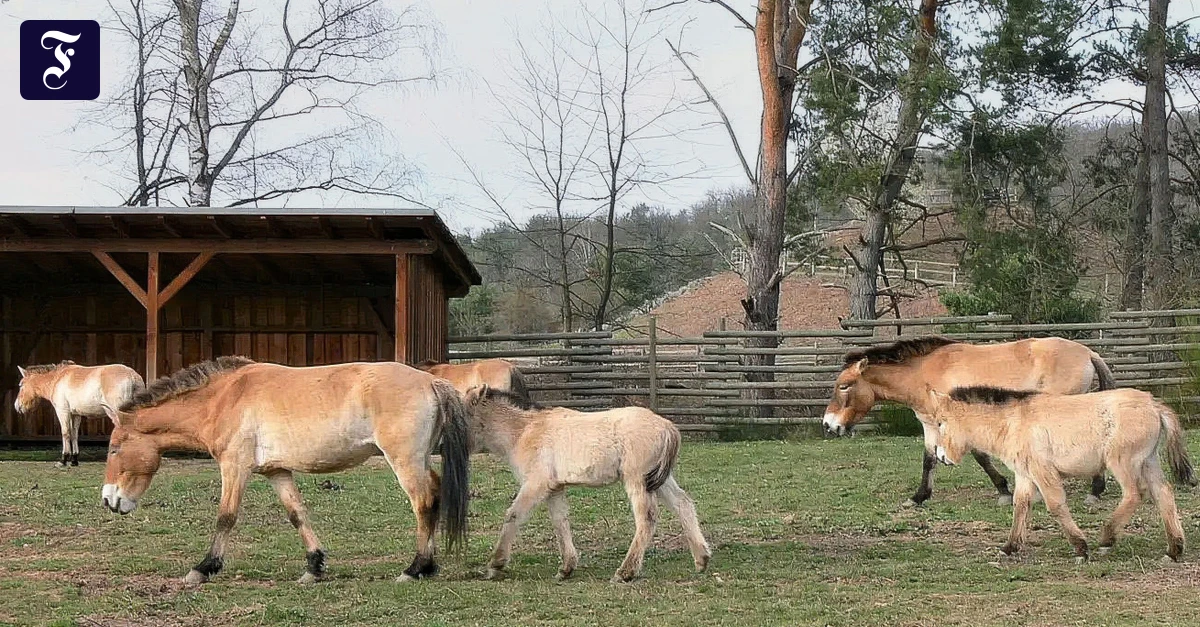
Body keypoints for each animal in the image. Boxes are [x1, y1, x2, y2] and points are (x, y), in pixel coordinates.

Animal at [15, 361, 144, 467]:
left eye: (21, 385)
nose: (17, 406)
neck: (57, 379)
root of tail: (133, 375)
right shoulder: (75, 415)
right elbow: (74, 434)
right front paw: (74, 459)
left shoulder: (63, 412)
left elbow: (66, 433)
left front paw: (63, 459)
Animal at [98, 356, 471, 585]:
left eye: (114, 449)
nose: (108, 500)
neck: (224, 397)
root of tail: (432, 382)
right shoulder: (276, 472)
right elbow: (297, 514)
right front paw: (314, 567)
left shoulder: (235, 467)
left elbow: (226, 517)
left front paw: (203, 568)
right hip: (417, 460)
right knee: (434, 495)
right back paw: (427, 567)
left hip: (404, 461)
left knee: (424, 502)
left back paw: (415, 568)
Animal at [461, 385, 710, 583]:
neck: (524, 431)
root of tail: (668, 427)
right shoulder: (555, 488)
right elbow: (560, 521)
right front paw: (566, 568)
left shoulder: (536, 483)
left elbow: (514, 515)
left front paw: (495, 564)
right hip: (658, 480)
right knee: (683, 504)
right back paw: (702, 560)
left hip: (637, 479)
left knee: (646, 518)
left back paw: (625, 572)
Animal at [822, 336, 1117, 507]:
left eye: (844, 386)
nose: (828, 424)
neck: (923, 373)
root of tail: (1088, 352)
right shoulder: (931, 424)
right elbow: (929, 459)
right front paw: (918, 497)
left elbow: (980, 457)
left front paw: (1004, 491)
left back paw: (1094, 491)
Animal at [930, 385, 1193, 564]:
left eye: (941, 423)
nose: (940, 456)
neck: (1014, 421)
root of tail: (1153, 405)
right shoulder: (1025, 475)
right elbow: (1020, 505)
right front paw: (1009, 547)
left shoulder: (1042, 472)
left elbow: (1055, 505)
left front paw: (1081, 548)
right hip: (1148, 462)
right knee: (1163, 494)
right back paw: (1174, 550)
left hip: (1123, 463)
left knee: (1134, 494)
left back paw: (1107, 539)